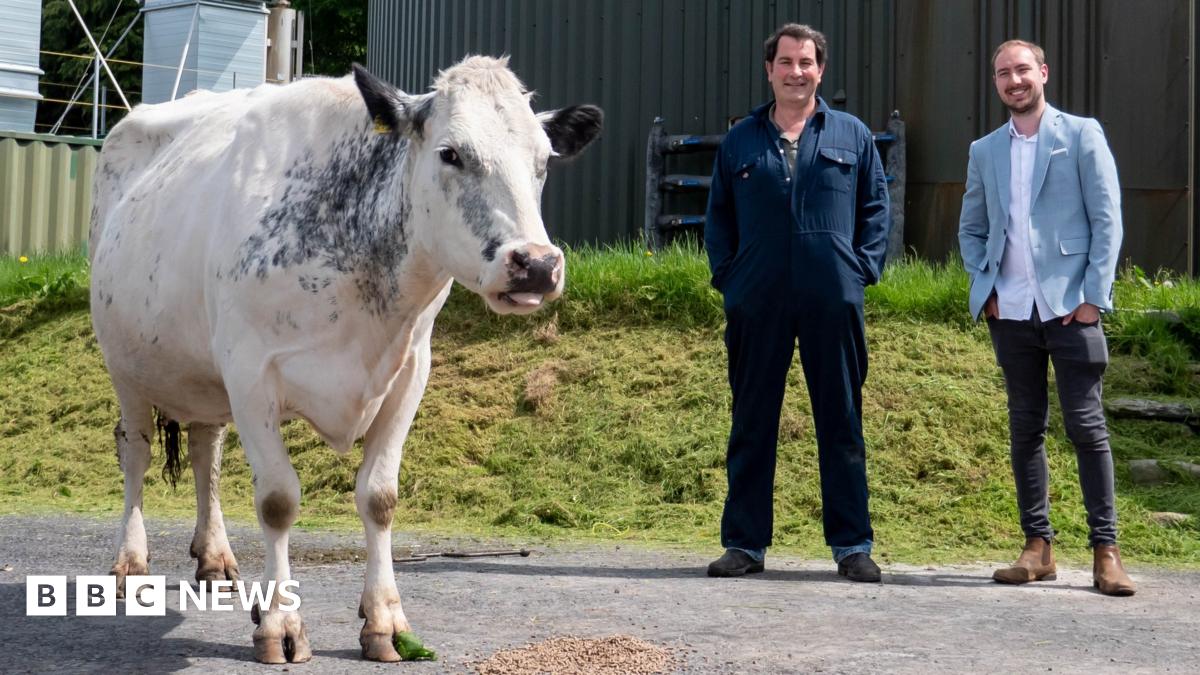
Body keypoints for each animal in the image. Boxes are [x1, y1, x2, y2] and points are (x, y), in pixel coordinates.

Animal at [87, 56, 602, 663]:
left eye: (543, 161)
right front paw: (280, 624)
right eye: (450, 153)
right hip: (127, 366)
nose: (537, 265)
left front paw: (386, 621)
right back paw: (130, 562)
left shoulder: (409, 373)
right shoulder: (250, 373)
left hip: (202, 376)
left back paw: (214, 556)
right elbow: (278, 500)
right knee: (136, 450)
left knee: (204, 451)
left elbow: (379, 497)